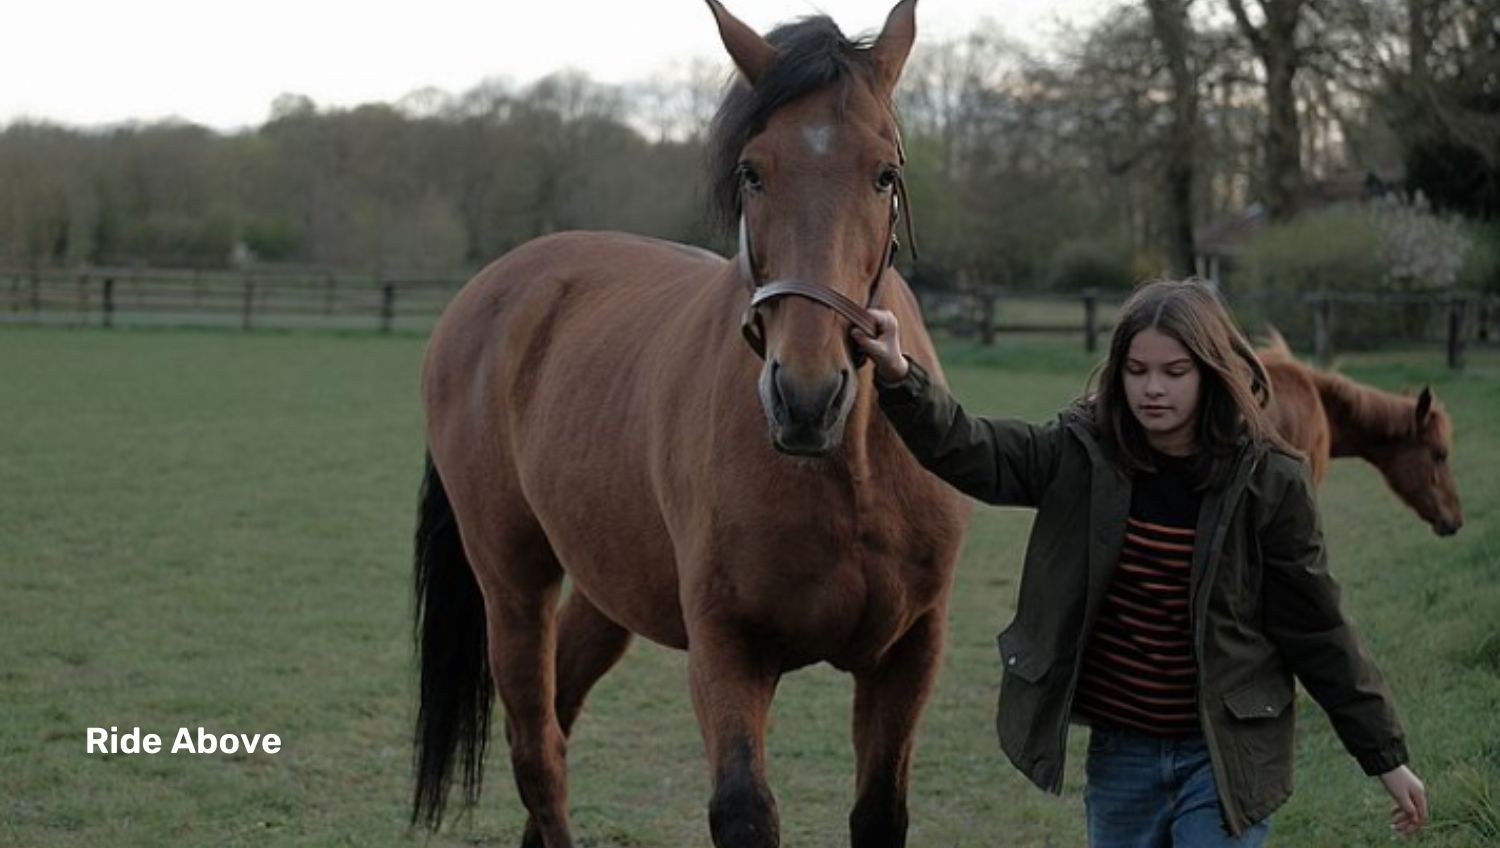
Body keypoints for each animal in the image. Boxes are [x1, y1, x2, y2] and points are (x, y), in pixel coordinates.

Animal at [410, 3, 971, 847]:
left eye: (885, 173)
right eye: (753, 171)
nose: (807, 396)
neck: (849, 480)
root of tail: (494, 288)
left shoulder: (908, 653)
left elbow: (880, 812)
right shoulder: (726, 646)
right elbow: (743, 809)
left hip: (606, 586)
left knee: (560, 713)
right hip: (511, 581)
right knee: (538, 750)